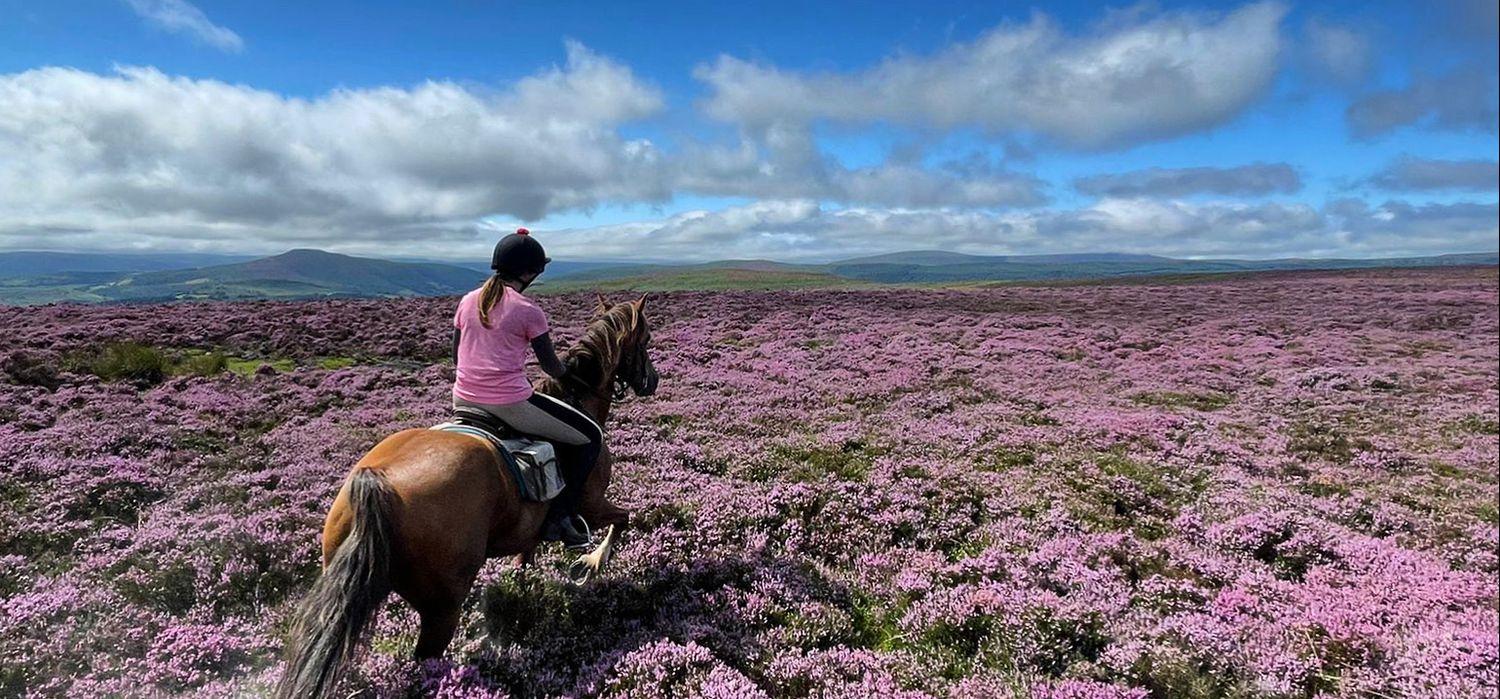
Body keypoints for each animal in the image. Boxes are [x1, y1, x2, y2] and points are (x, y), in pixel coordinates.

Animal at [274, 295, 657, 699]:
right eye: (645, 339)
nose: (653, 381)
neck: (577, 400)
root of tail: (378, 481)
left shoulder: (530, 532)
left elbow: (525, 563)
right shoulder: (592, 504)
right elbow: (622, 519)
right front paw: (593, 562)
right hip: (442, 608)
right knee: (427, 659)